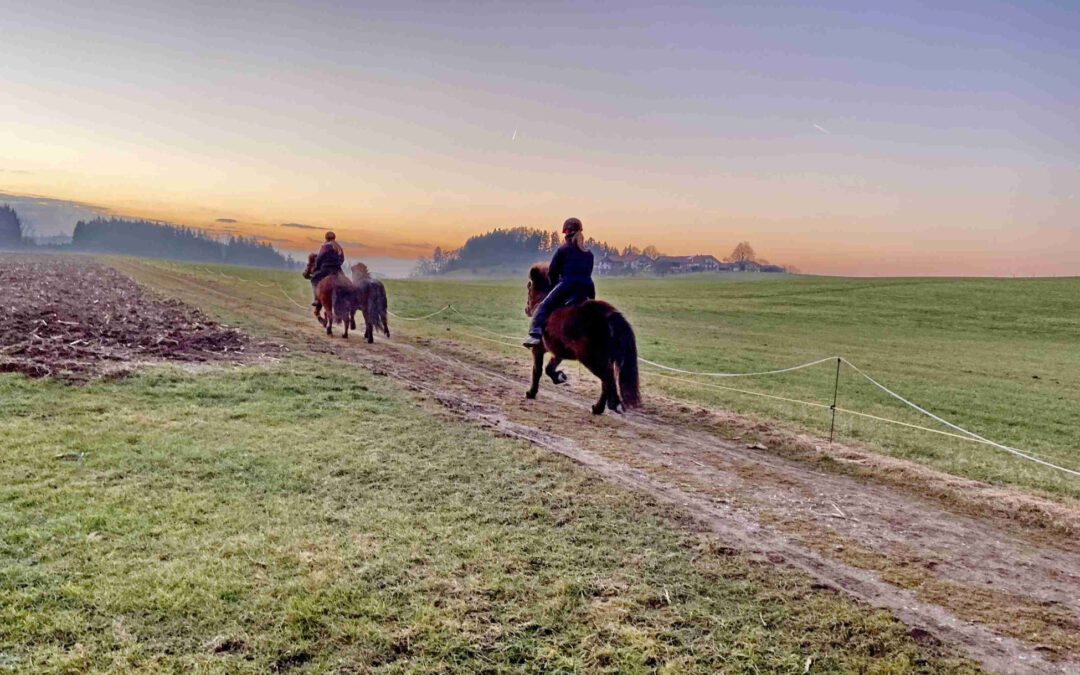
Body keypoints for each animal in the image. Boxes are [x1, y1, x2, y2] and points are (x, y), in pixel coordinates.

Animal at [524, 264, 639, 412]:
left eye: (529, 287)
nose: (526, 309)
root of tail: (609, 315)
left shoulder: (537, 349)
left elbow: (537, 371)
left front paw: (531, 393)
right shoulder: (559, 352)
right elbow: (549, 368)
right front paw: (560, 377)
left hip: (592, 360)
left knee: (608, 380)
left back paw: (606, 406)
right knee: (608, 381)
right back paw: (605, 406)